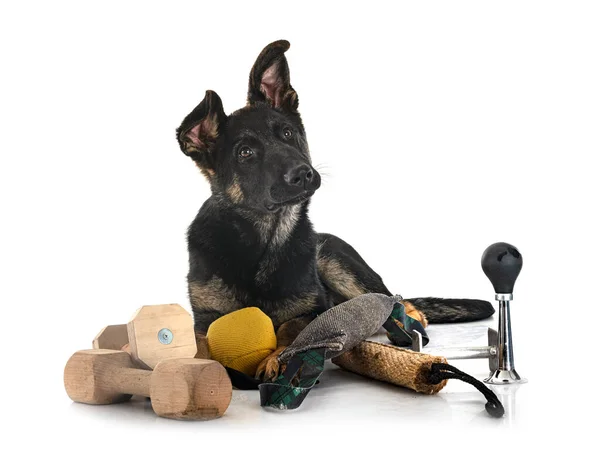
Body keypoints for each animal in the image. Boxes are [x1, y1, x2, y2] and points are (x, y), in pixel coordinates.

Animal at [175, 40, 492, 382]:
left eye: (287, 133)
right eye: (245, 153)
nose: (303, 174)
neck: (263, 242)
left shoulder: (314, 309)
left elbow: (291, 328)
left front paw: (275, 357)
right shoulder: (204, 317)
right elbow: (200, 343)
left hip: (335, 260)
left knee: (396, 299)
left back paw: (407, 323)